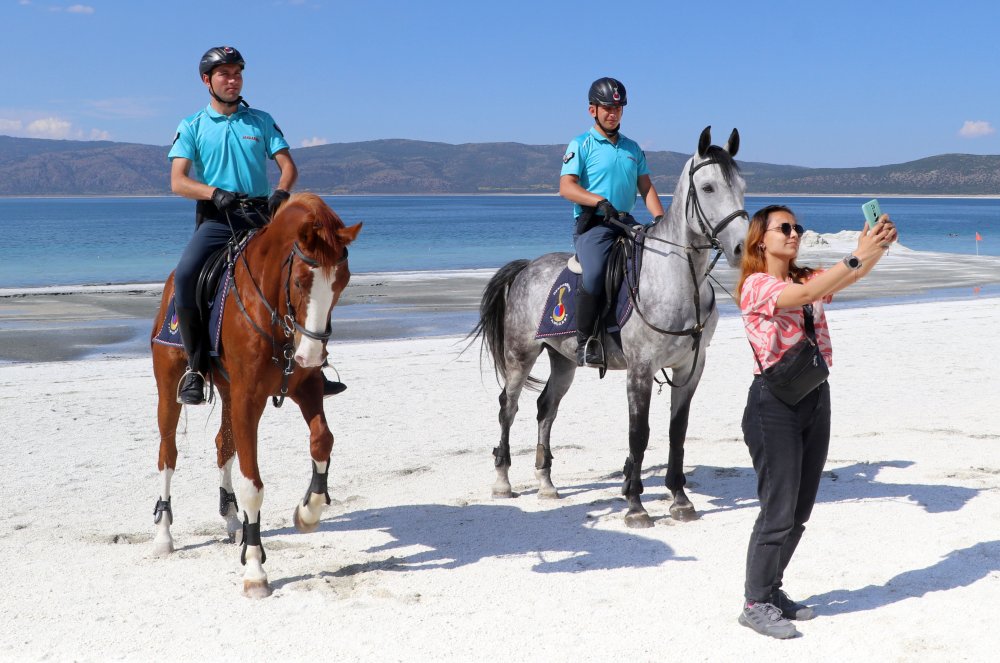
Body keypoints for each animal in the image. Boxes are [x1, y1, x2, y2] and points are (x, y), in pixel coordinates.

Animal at [150, 191, 362, 596]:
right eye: (300, 282)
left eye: (342, 282)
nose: (312, 354)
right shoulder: (249, 399)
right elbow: (253, 485)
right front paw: (254, 568)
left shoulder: (305, 388)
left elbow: (322, 442)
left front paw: (308, 511)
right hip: (169, 388)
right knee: (167, 455)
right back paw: (164, 536)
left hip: (229, 393)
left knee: (223, 445)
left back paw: (233, 521)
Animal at [472, 127, 748, 528]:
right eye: (709, 187)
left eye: (742, 185)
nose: (742, 248)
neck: (678, 280)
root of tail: (526, 268)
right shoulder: (640, 370)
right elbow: (639, 434)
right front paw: (635, 505)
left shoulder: (690, 368)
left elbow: (676, 431)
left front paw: (680, 499)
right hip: (520, 355)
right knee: (508, 406)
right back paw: (502, 481)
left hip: (563, 360)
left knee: (545, 408)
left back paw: (546, 483)